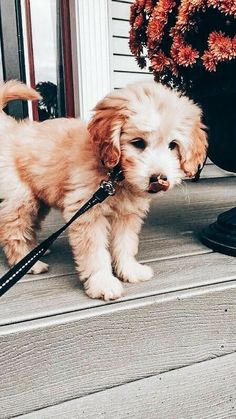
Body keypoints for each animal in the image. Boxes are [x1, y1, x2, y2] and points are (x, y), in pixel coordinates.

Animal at [0, 80, 206, 300]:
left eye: (173, 145)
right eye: (138, 143)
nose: (158, 179)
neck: (114, 177)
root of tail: (11, 127)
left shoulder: (126, 215)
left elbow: (125, 244)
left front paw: (130, 270)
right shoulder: (87, 213)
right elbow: (96, 252)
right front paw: (103, 283)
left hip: (38, 200)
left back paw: (35, 252)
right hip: (21, 198)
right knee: (13, 230)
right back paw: (29, 263)